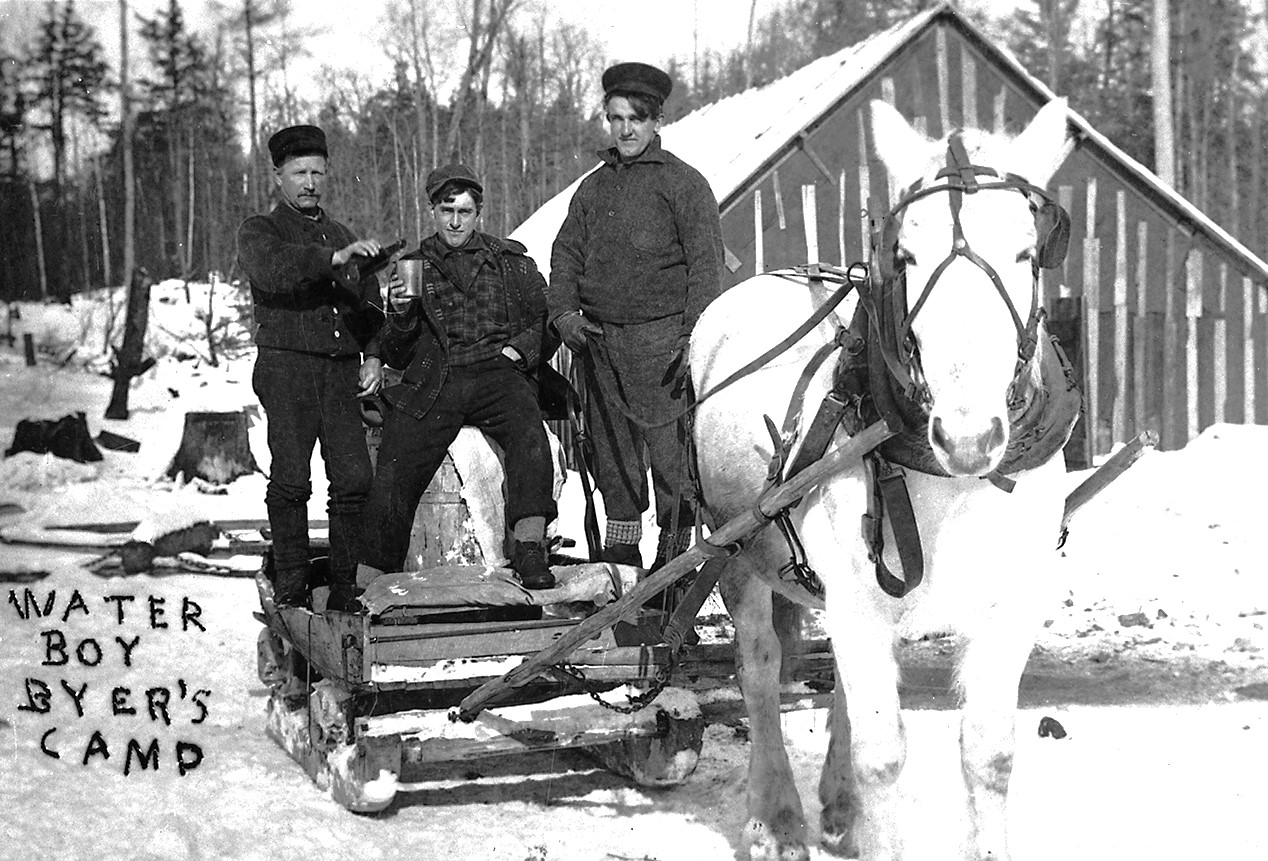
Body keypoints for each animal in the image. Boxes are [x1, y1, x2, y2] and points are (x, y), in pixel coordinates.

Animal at [694, 97, 1080, 857]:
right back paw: (775, 816)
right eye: (907, 255)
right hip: (738, 553)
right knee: (759, 668)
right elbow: (883, 754)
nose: (970, 437)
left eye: (1027, 253)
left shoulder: (1012, 597)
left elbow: (989, 751)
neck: (954, 483)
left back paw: (838, 807)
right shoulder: (856, 595)